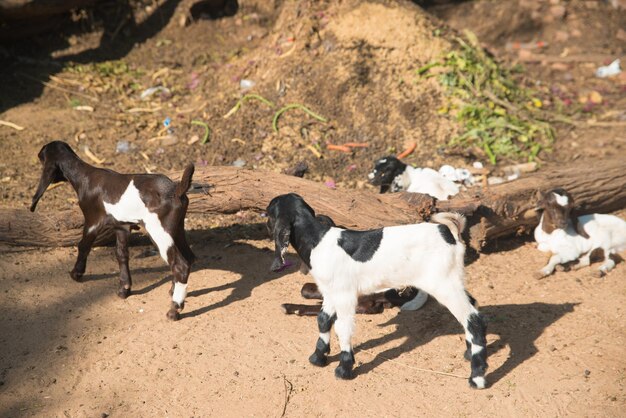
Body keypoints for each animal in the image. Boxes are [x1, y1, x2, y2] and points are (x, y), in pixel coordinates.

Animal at [29, 140, 194, 320]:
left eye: (41, 155)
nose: (36, 155)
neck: (84, 176)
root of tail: (176, 190)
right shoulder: (122, 226)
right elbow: (121, 255)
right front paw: (124, 289)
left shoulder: (92, 221)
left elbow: (84, 245)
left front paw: (76, 273)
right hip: (177, 229)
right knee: (189, 257)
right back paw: (174, 293)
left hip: (158, 230)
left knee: (180, 265)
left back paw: (174, 309)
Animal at [266, 193, 486, 388]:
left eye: (268, 213)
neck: (318, 240)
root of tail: (449, 232)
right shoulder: (330, 292)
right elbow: (323, 320)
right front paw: (318, 357)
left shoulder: (345, 294)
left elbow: (343, 327)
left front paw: (344, 369)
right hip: (453, 279)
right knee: (472, 307)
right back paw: (469, 353)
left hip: (443, 283)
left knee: (472, 318)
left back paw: (477, 378)